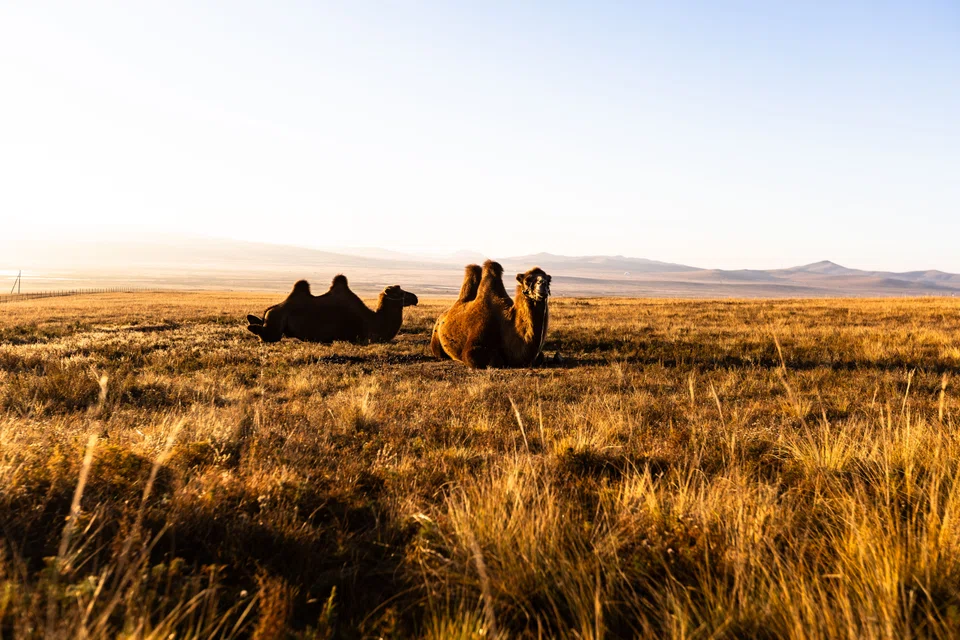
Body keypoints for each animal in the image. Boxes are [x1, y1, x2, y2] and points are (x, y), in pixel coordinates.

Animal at [246, 275, 418, 344]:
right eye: (400, 292)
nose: (415, 297)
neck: (374, 321)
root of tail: (269, 311)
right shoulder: (358, 336)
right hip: (275, 327)